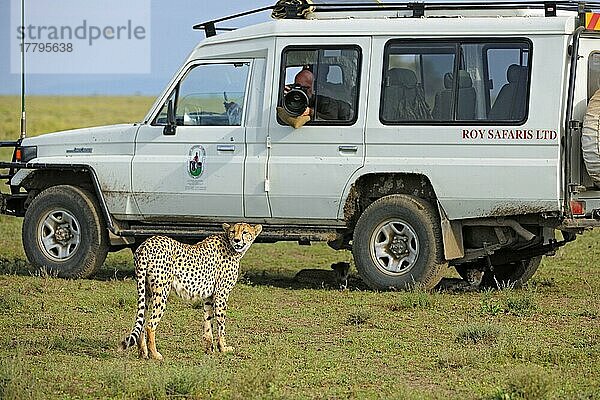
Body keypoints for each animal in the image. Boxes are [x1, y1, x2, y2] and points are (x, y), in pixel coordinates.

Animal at [120, 222, 262, 360]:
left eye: (245, 232)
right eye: (233, 231)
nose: (237, 240)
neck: (231, 246)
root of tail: (146, 243)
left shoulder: (209, 297)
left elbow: (208, 321)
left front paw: (209, 349)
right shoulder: (221, 295)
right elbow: (221, 325)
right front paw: (223, 348)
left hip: (146, 291)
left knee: (141, 323)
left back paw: (143, 353)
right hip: (161, 292)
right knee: (150, 324)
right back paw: (155, 354)